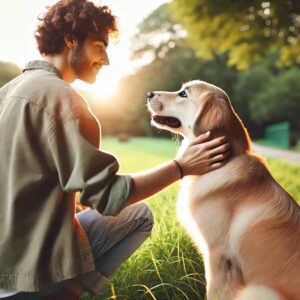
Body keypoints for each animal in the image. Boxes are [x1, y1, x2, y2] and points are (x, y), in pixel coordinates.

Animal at [147, 80, 300, 300]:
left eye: (183, 94)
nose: (149, 94)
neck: (226, 160)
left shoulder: (217, 254)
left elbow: (214, 292)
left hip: (256, 290)